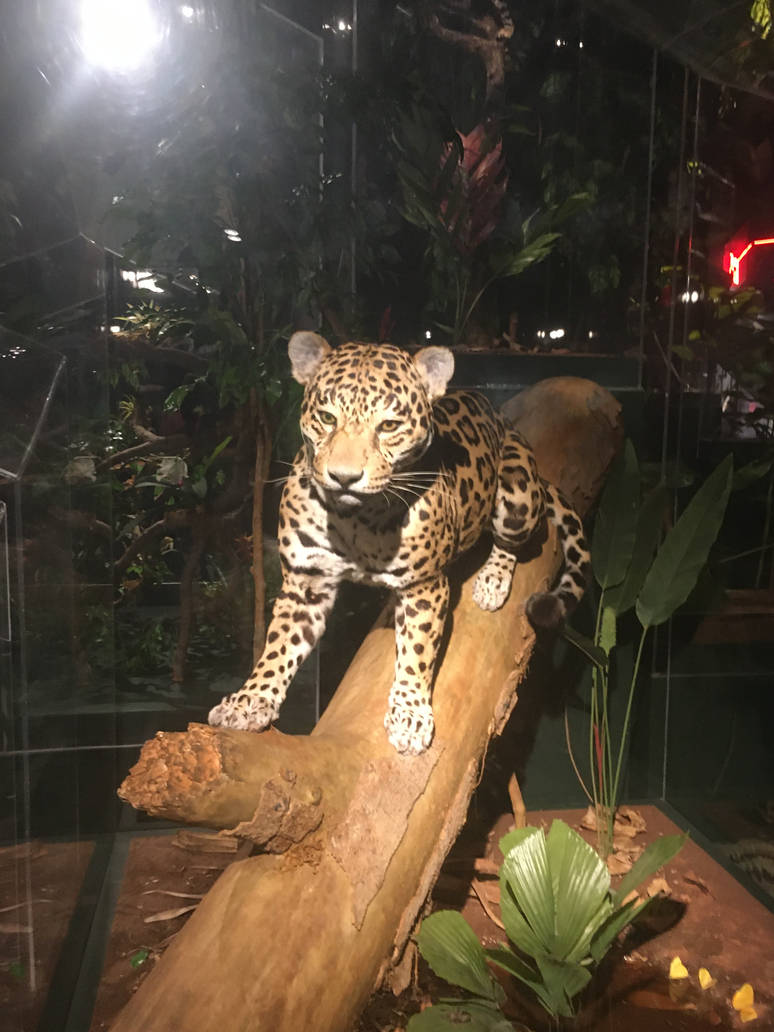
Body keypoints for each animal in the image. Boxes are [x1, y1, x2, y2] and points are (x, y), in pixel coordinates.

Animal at [208, 331, 590, 755]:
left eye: (389, 425)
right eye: (327, 418)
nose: (344, 477)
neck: (355, 519)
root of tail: (502, 419)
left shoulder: (425, 587)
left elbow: (417, 651)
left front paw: (410, 715)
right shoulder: (306, 581)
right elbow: (279, 646)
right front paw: (250, 699)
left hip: (518, 493)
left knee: (513, 539)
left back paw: (492, 581)